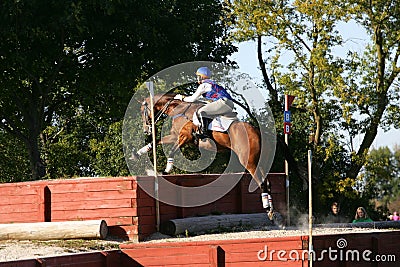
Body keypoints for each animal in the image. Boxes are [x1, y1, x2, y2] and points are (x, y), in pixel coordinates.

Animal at [131, 93, 284, 227]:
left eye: (142, 111)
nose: (146, 130)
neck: (179, 109)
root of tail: (258, 132)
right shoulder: (175, 135)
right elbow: (155, 142)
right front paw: (137, 154)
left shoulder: (185, 136)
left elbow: (172, 150)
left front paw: (166, 170)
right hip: (260, 161)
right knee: (267, 183)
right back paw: (273, 213)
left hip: (250, 162)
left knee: (261, 182)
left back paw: (268, 209)